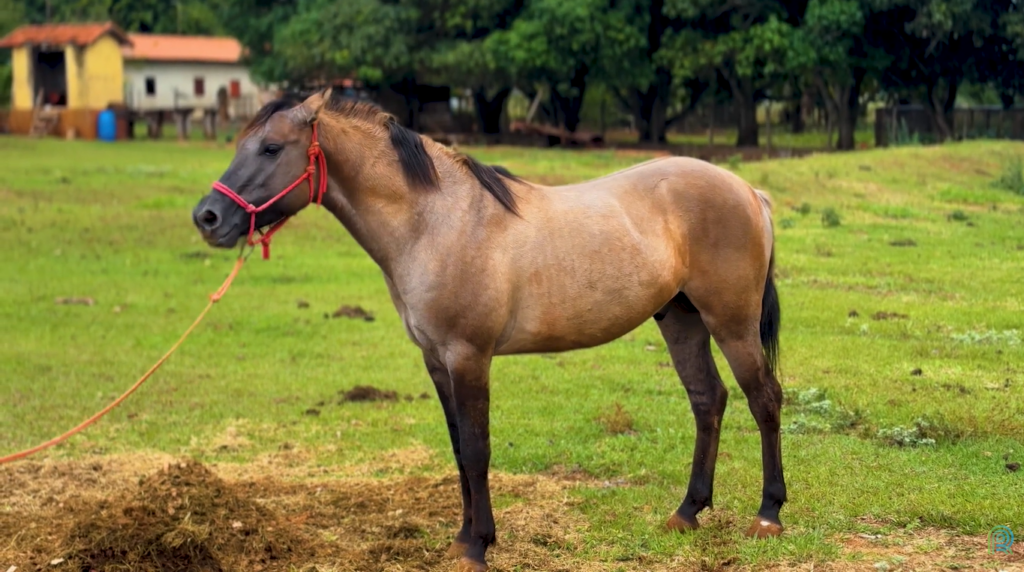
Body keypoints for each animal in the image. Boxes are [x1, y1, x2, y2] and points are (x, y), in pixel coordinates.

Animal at [192, 89, 785, 572]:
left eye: (271, 148)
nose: (208, 217)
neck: (436, 222)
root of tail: (748, 190)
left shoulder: (468, 356)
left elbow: (477, 450)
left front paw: (479, 546)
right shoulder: (436, 360)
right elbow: (458, 449)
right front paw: (461, 538)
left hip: (730, 322)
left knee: (764, 399)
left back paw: (768, 514)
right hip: (681, 319)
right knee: (708, 400)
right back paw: (687, 512)